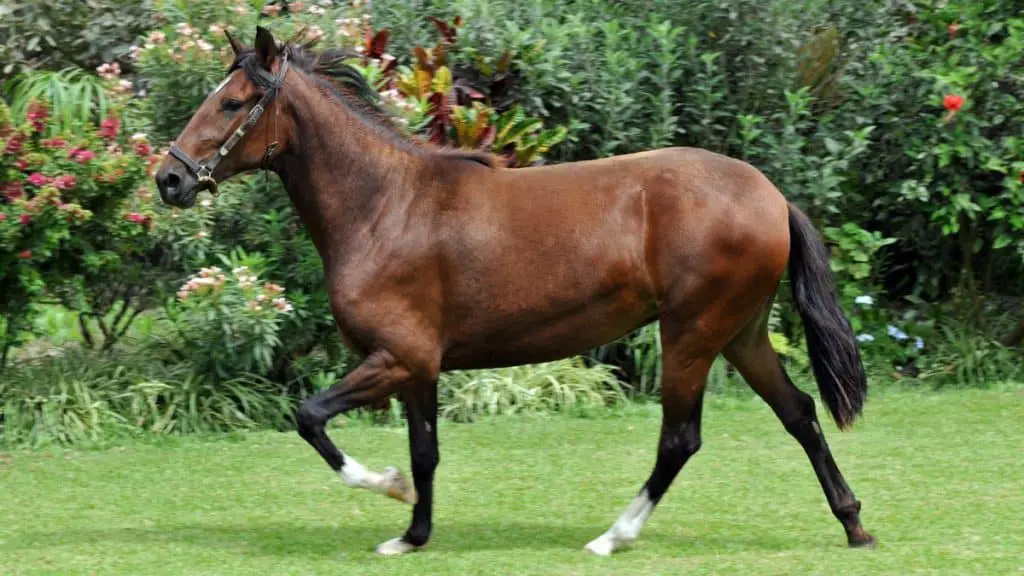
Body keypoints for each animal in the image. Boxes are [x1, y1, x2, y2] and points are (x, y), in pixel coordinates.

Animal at [155, 28, 876, 557]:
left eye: (230, 102)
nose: (169, 178)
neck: (385, 206)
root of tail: (772, 196)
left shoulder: (396, 358)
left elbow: (310, 417)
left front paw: (387, 489)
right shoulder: (419, 367)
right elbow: (426, 453)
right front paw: (412, 535)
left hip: (692, 334)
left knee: (681, 439)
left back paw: (612, 537)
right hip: (741, 333)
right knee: (800, 413)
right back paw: (854, 524)